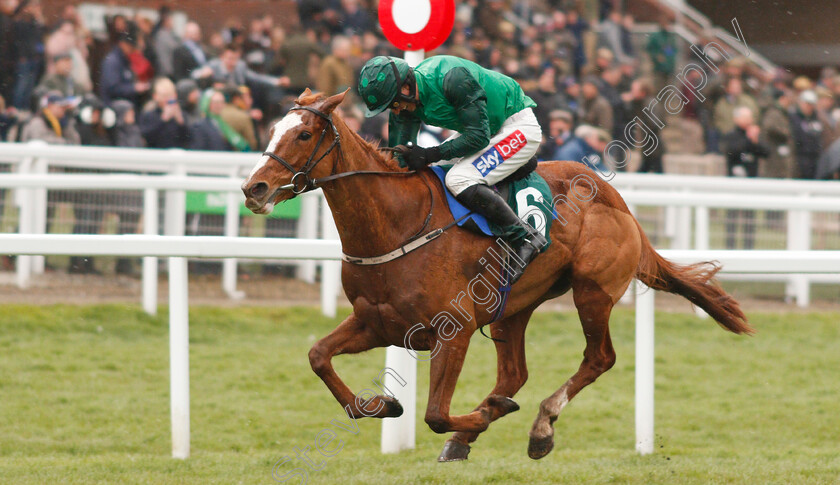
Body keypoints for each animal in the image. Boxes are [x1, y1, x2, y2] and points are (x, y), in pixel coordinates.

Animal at [243, 90, 756, 462]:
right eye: (272, 129)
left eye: (304, 134)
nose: (255, 187)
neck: (398, 222)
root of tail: (619, 202)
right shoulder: (377, 323)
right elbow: (318, 357)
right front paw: (384, 405)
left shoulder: (453, 331)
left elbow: (435, 414)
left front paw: (478, 417)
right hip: (515, 305)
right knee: (515, 373)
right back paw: (481, 424)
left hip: (592, 291)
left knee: (599, 358)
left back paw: (540, 425)